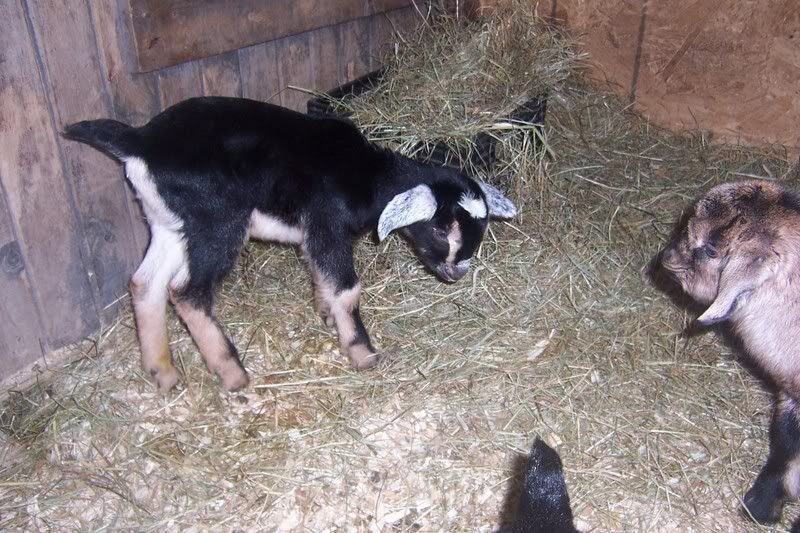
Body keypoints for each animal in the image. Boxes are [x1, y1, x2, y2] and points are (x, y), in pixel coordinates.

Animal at [63, 97, 516, 392]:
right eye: (441, 229)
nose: (457, 271)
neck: (366, 175)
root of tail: (141, 142)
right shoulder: (328, 226)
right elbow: (347, 289)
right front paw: (362, 353)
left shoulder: (316, 238)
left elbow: (323, 277)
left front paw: (327, 315)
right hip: (217, 223)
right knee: (187, 292)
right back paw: (232, 374)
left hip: (170, 224)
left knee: (146, 283)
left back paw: (164, 374)